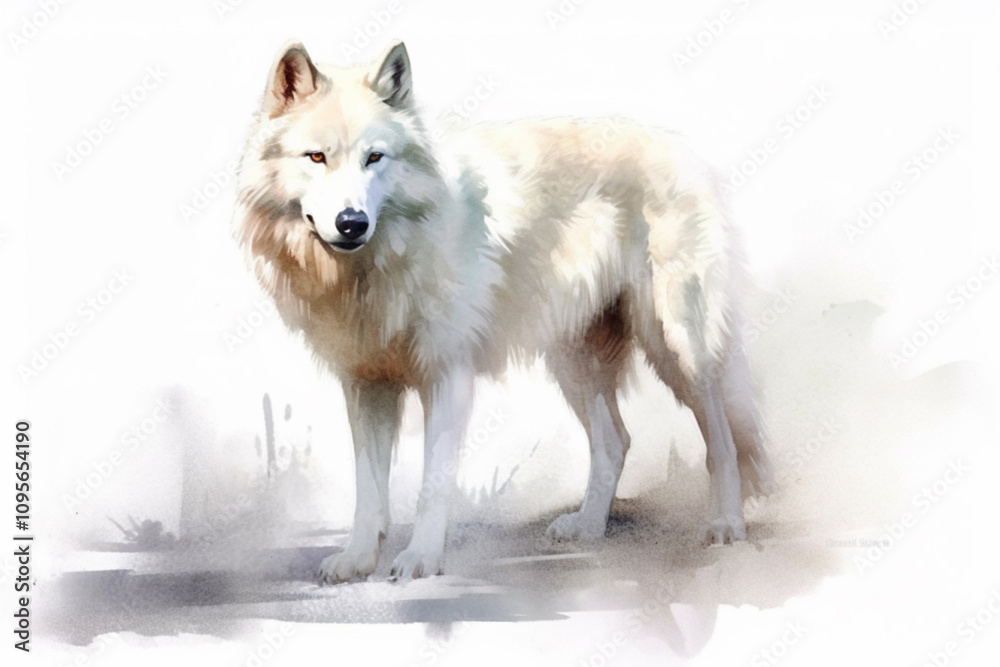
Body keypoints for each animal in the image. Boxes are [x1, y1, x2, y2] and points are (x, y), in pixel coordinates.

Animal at [235, 41, 773, 583]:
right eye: (317, 157)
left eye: (374, 158)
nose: (352, 222)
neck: (371, 269)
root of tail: (682, 148)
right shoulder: (366, 383)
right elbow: (368, 488)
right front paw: (358, 560)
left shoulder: (446, 376)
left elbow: (433, 483)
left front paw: (421, 559)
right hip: (574, 363)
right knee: (616, 441)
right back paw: (587, 529)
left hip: (677, 345)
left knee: (721, 439)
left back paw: (726, 527)